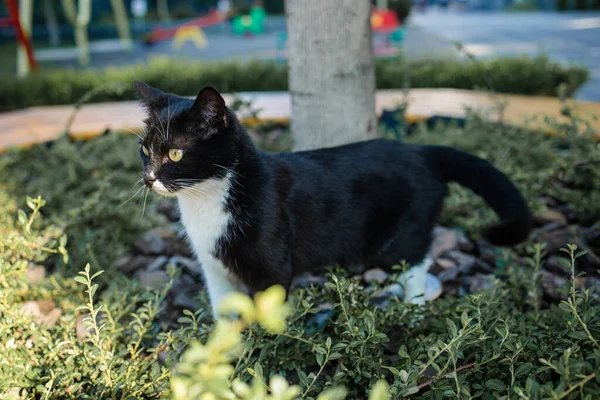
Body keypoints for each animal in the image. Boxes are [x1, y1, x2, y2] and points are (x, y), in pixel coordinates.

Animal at [134, 81, 532, 318]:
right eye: (145, 150)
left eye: (175, 154)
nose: (149, 177)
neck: (206, 200)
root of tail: (422, 150)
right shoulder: (213, 267)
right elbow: (224, 311)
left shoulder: (272, 267)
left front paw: (266, 355)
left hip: (403, 232)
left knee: (417, 260)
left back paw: (412, 309)